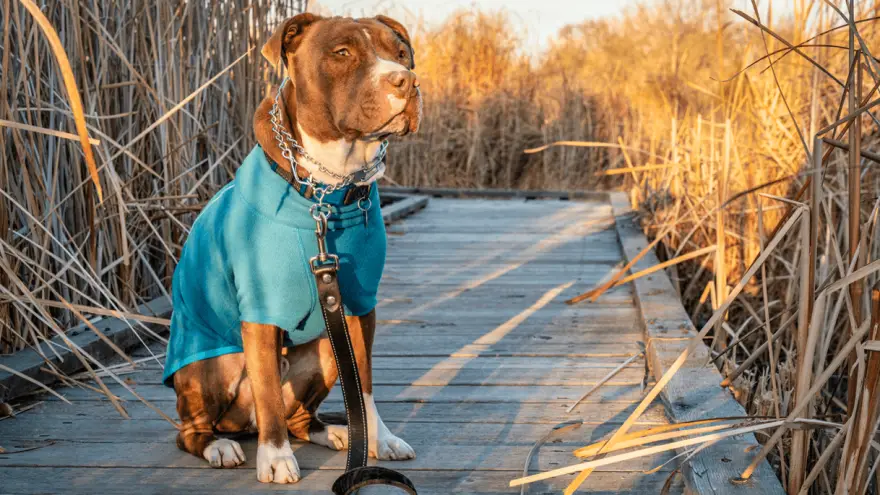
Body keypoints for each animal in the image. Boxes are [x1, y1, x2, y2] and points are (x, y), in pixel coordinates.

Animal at [162, 12, 422, 484]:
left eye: (401, 54)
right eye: (342, 53)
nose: (406, 81)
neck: (329, 188)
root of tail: (240, 424)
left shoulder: (359, 305)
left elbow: (365, 382)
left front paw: (380, 438)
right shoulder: (260, 311)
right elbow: (266, 390)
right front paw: (276, 457)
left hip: (325, 351)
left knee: (300, 415)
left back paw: (335, 432)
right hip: (209, 368)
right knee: (193, 429)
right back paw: (220, 446)